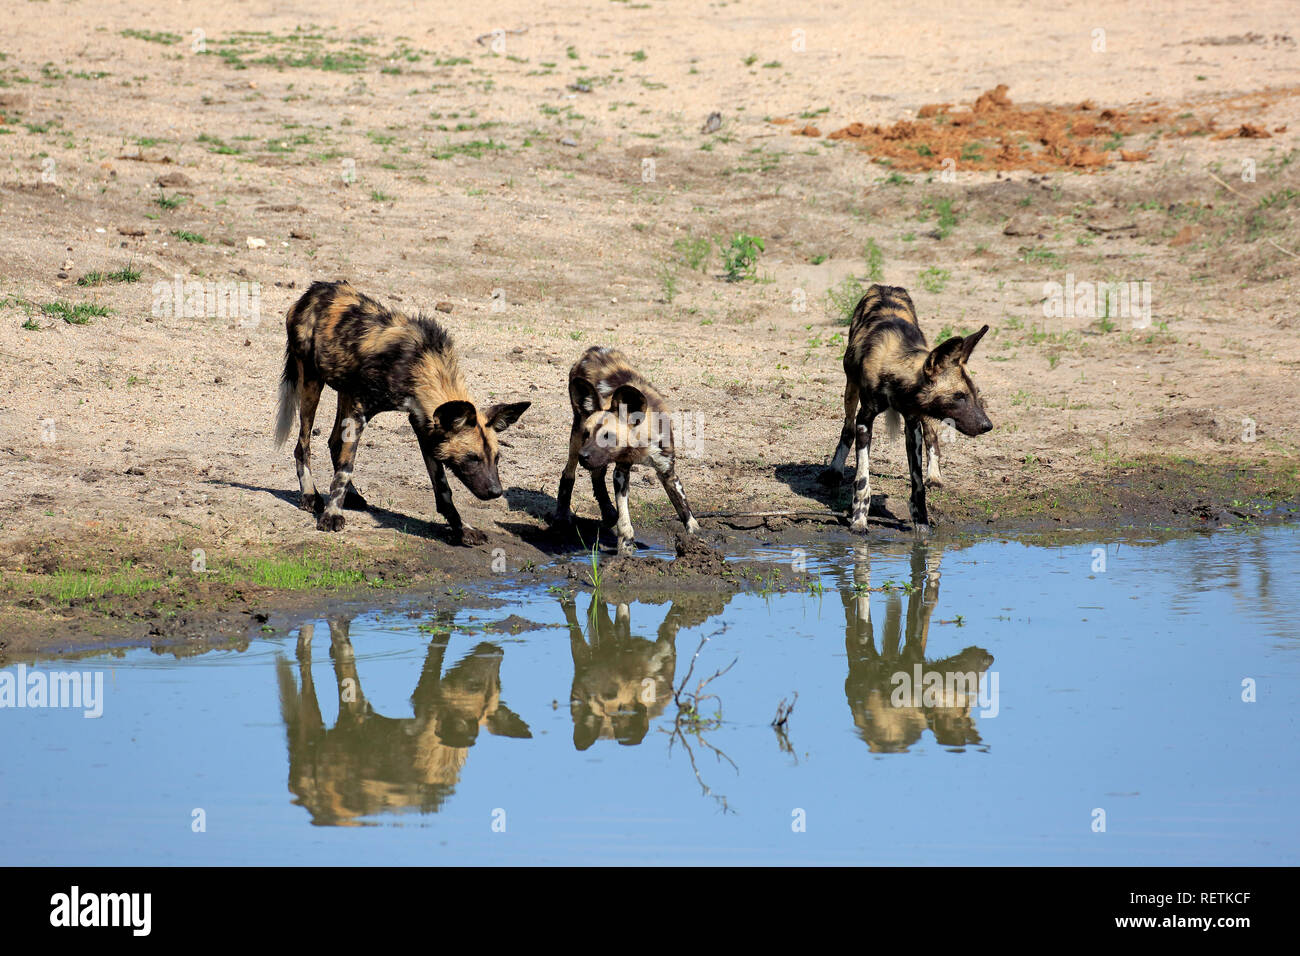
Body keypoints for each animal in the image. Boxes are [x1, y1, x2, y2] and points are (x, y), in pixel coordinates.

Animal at [271, 280, 530, 541]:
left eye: (496, 458)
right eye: (472, 458)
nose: (496, 491)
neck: (418, 364)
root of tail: (313, 290)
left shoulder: (423, 424)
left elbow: (442, 487)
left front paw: (461, 527)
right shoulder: (360, 411)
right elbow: (346, 469)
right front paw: (332, 515)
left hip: (344, 392)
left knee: (335, 443)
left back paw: (352, 496)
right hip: (312, 383)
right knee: (303, 445)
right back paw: (310, 496)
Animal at [556, 345, 707, 554]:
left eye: (608, 436)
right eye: (588, 433)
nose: (583, 456)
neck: (640, 445)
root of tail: (593, 350)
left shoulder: (667, 472)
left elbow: (684, 508)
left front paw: (695, 538)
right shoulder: (621, 472)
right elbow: (624, 515)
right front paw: (626, 545)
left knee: (597, 474)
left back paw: (608, 512)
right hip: (576, 434)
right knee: (569, 472)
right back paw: (562, 514)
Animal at [821, 283, 993, 538]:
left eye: (975, 393)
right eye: (959, 396)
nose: (987, 426)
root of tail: (885, 286)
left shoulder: (913, 425)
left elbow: (918, 484)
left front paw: (922, 525)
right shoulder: (865, 420)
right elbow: (862, 480)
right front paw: (859, 521)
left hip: (926, 415)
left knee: (933, 438)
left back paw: (935, 475)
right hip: (850, 391)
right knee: (847, 428)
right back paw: (834, 470)